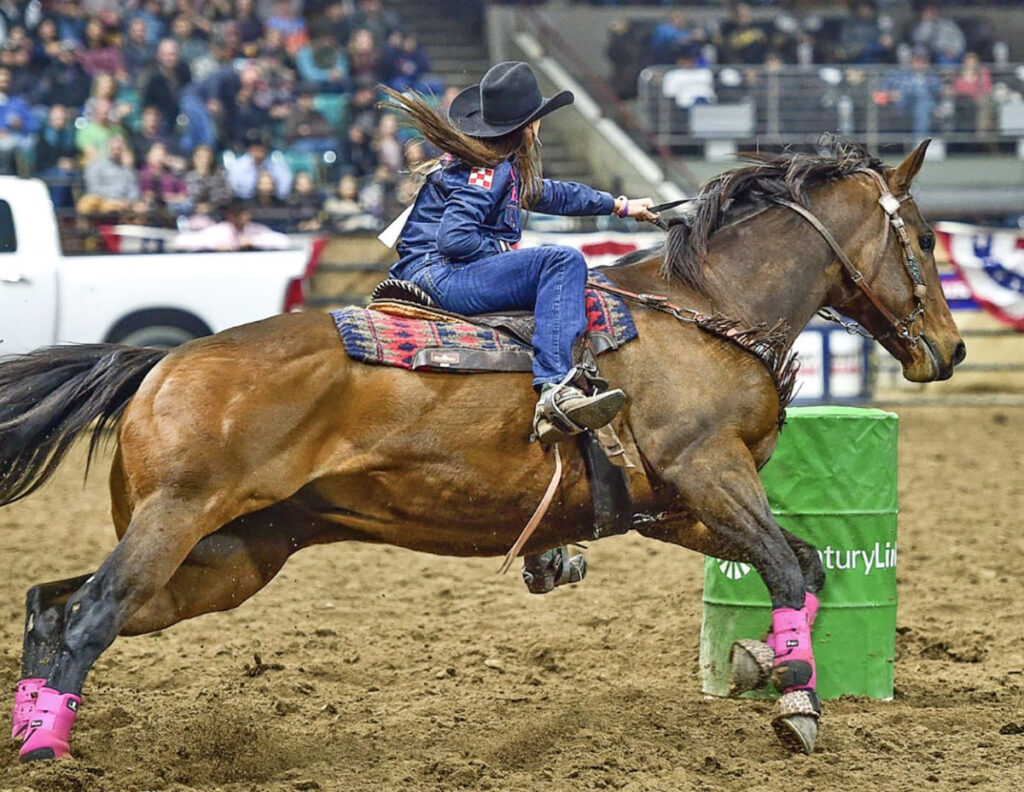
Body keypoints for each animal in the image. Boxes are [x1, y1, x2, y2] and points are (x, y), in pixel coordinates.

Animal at [0, 139, 958, 762]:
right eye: (922, 236)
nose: (947, 351)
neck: (702, 311)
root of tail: (163, 360)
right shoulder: (707, 472)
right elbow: (789, 568)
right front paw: (797, 703)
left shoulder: (673, 507)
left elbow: (805, 563)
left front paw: (762, 661)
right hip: (177, 522)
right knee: (89, 615)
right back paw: (49, 752)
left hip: (230, 554)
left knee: (53, 607)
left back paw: (32, 728)